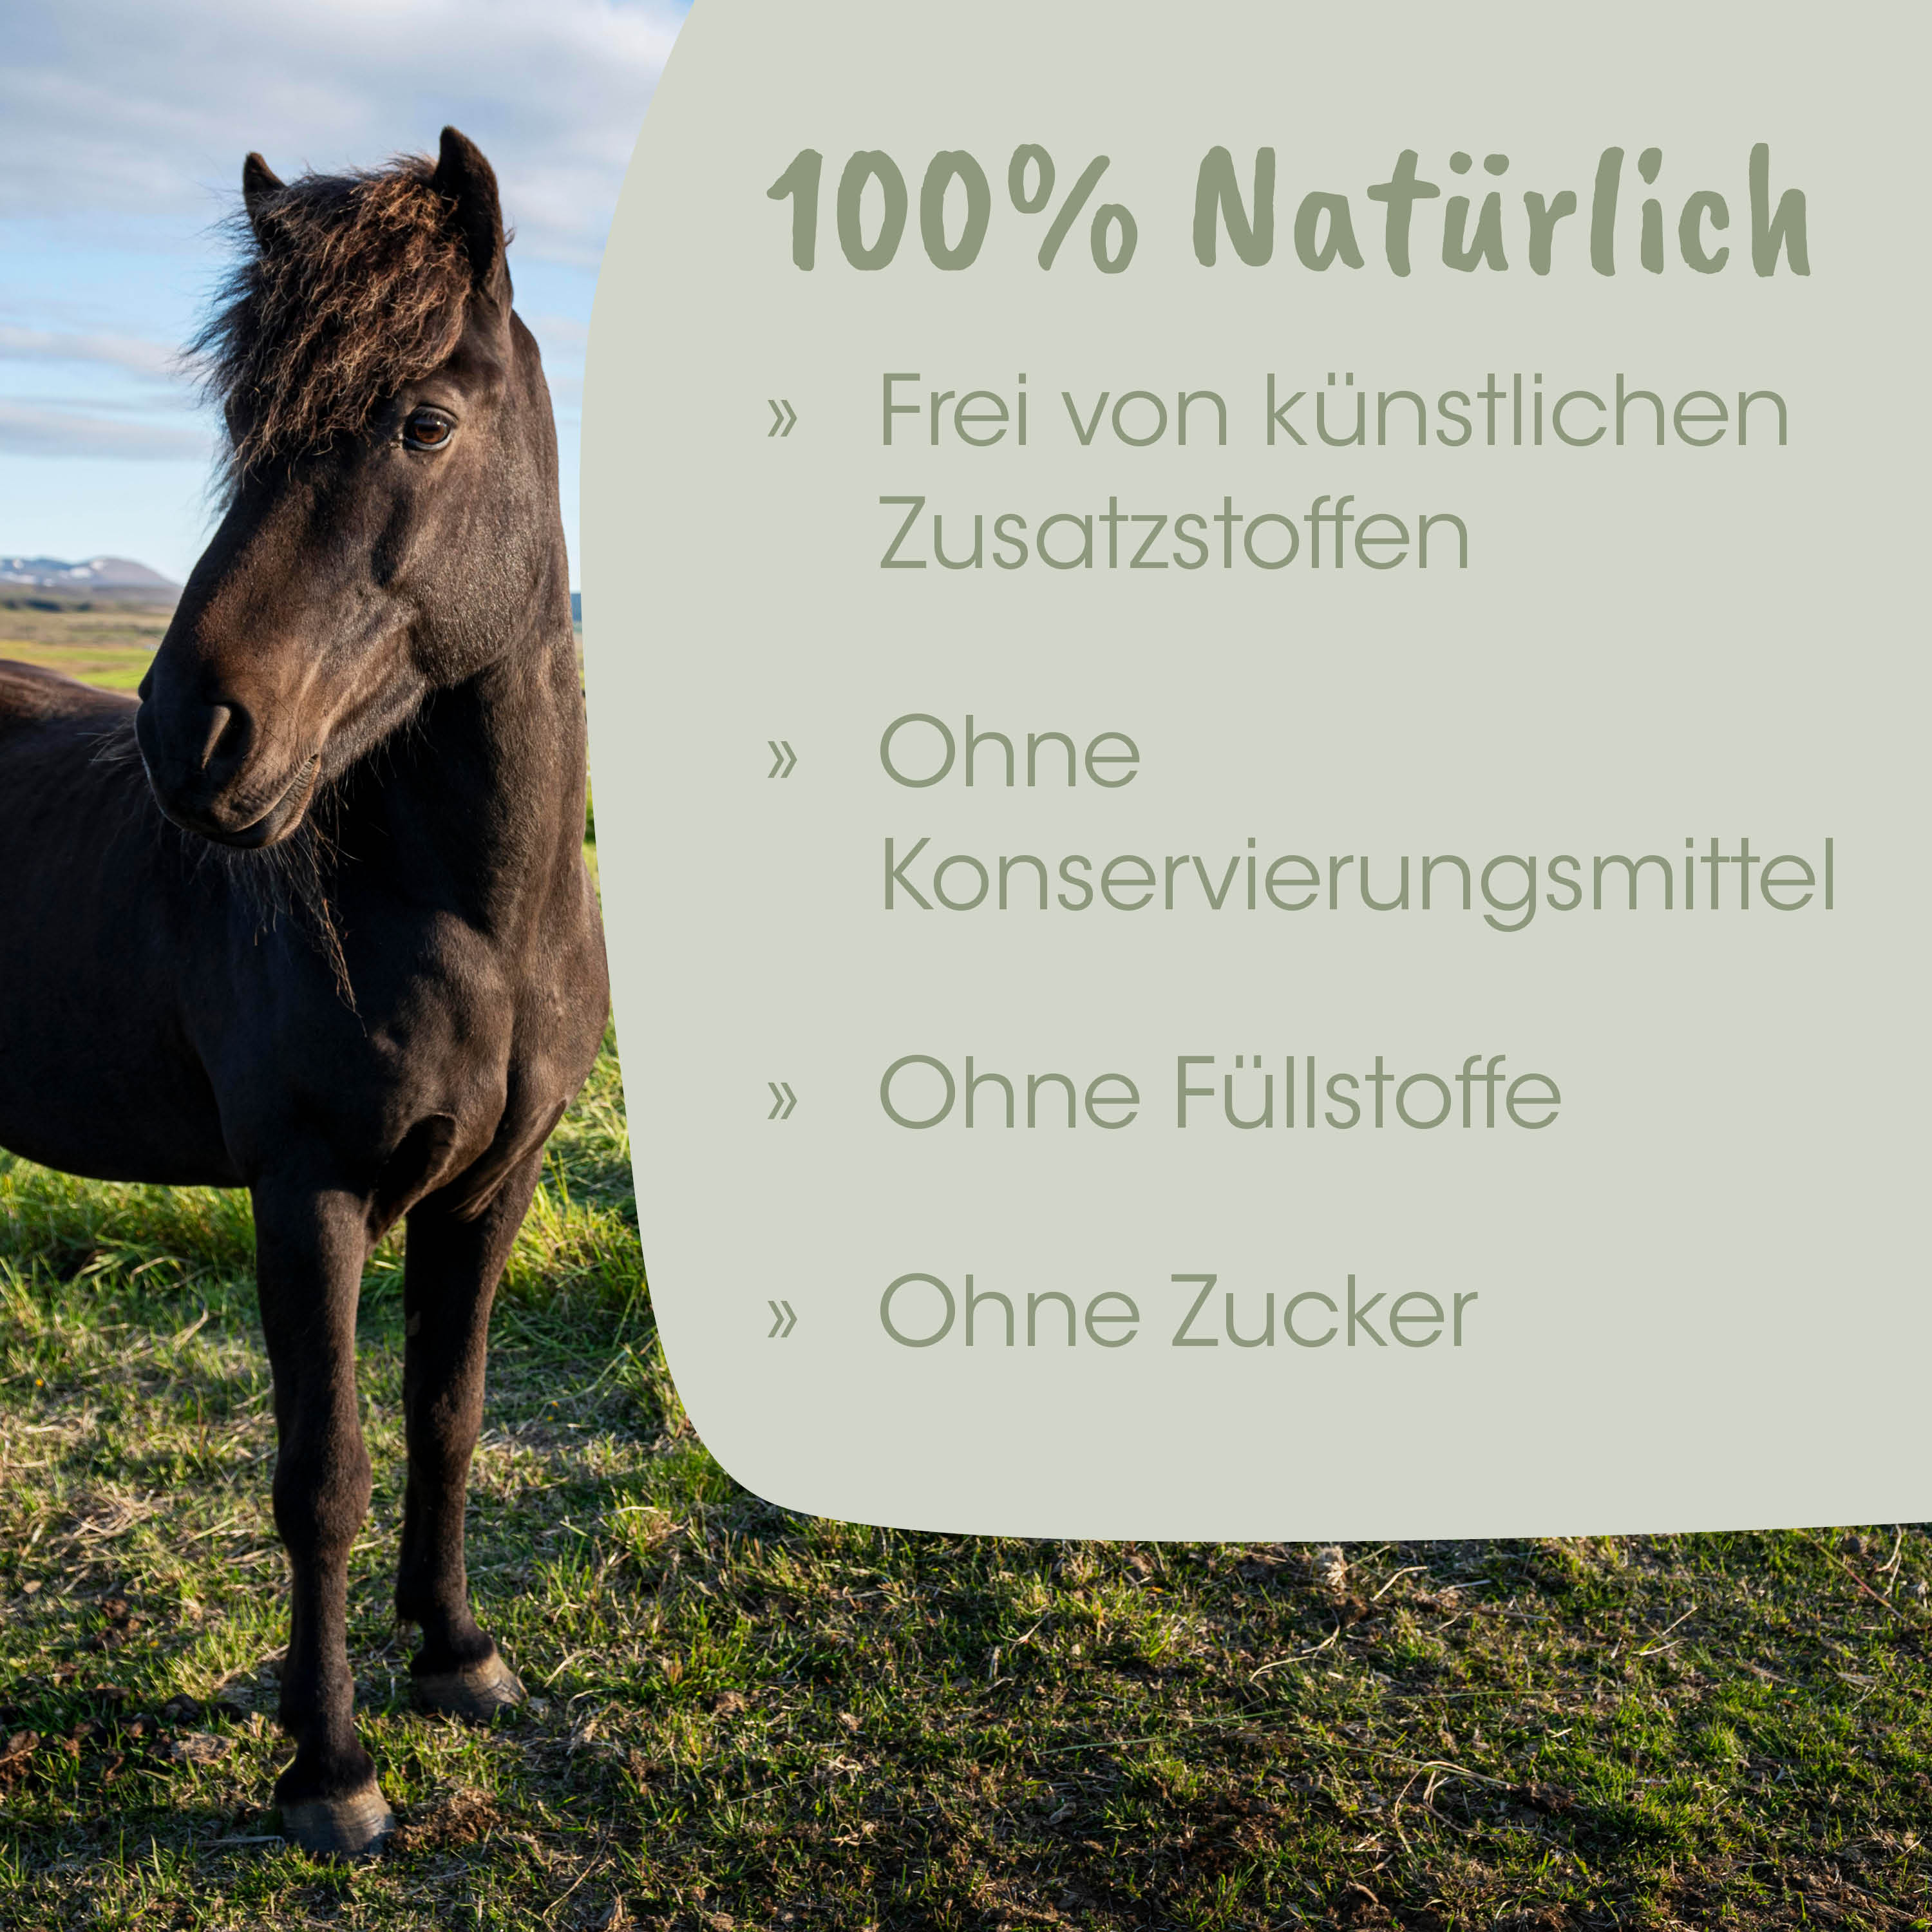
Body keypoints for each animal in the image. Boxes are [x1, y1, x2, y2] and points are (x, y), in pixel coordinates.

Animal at [0, 129, 609, 1856]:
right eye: (244, 430)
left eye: (424, 420)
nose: (190, 733)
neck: (470, 917)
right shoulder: (307, 1189)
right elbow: (321, 1471)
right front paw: (328, 1766)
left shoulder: (497, 1182)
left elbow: (448, 1412)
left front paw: (460, 1659)